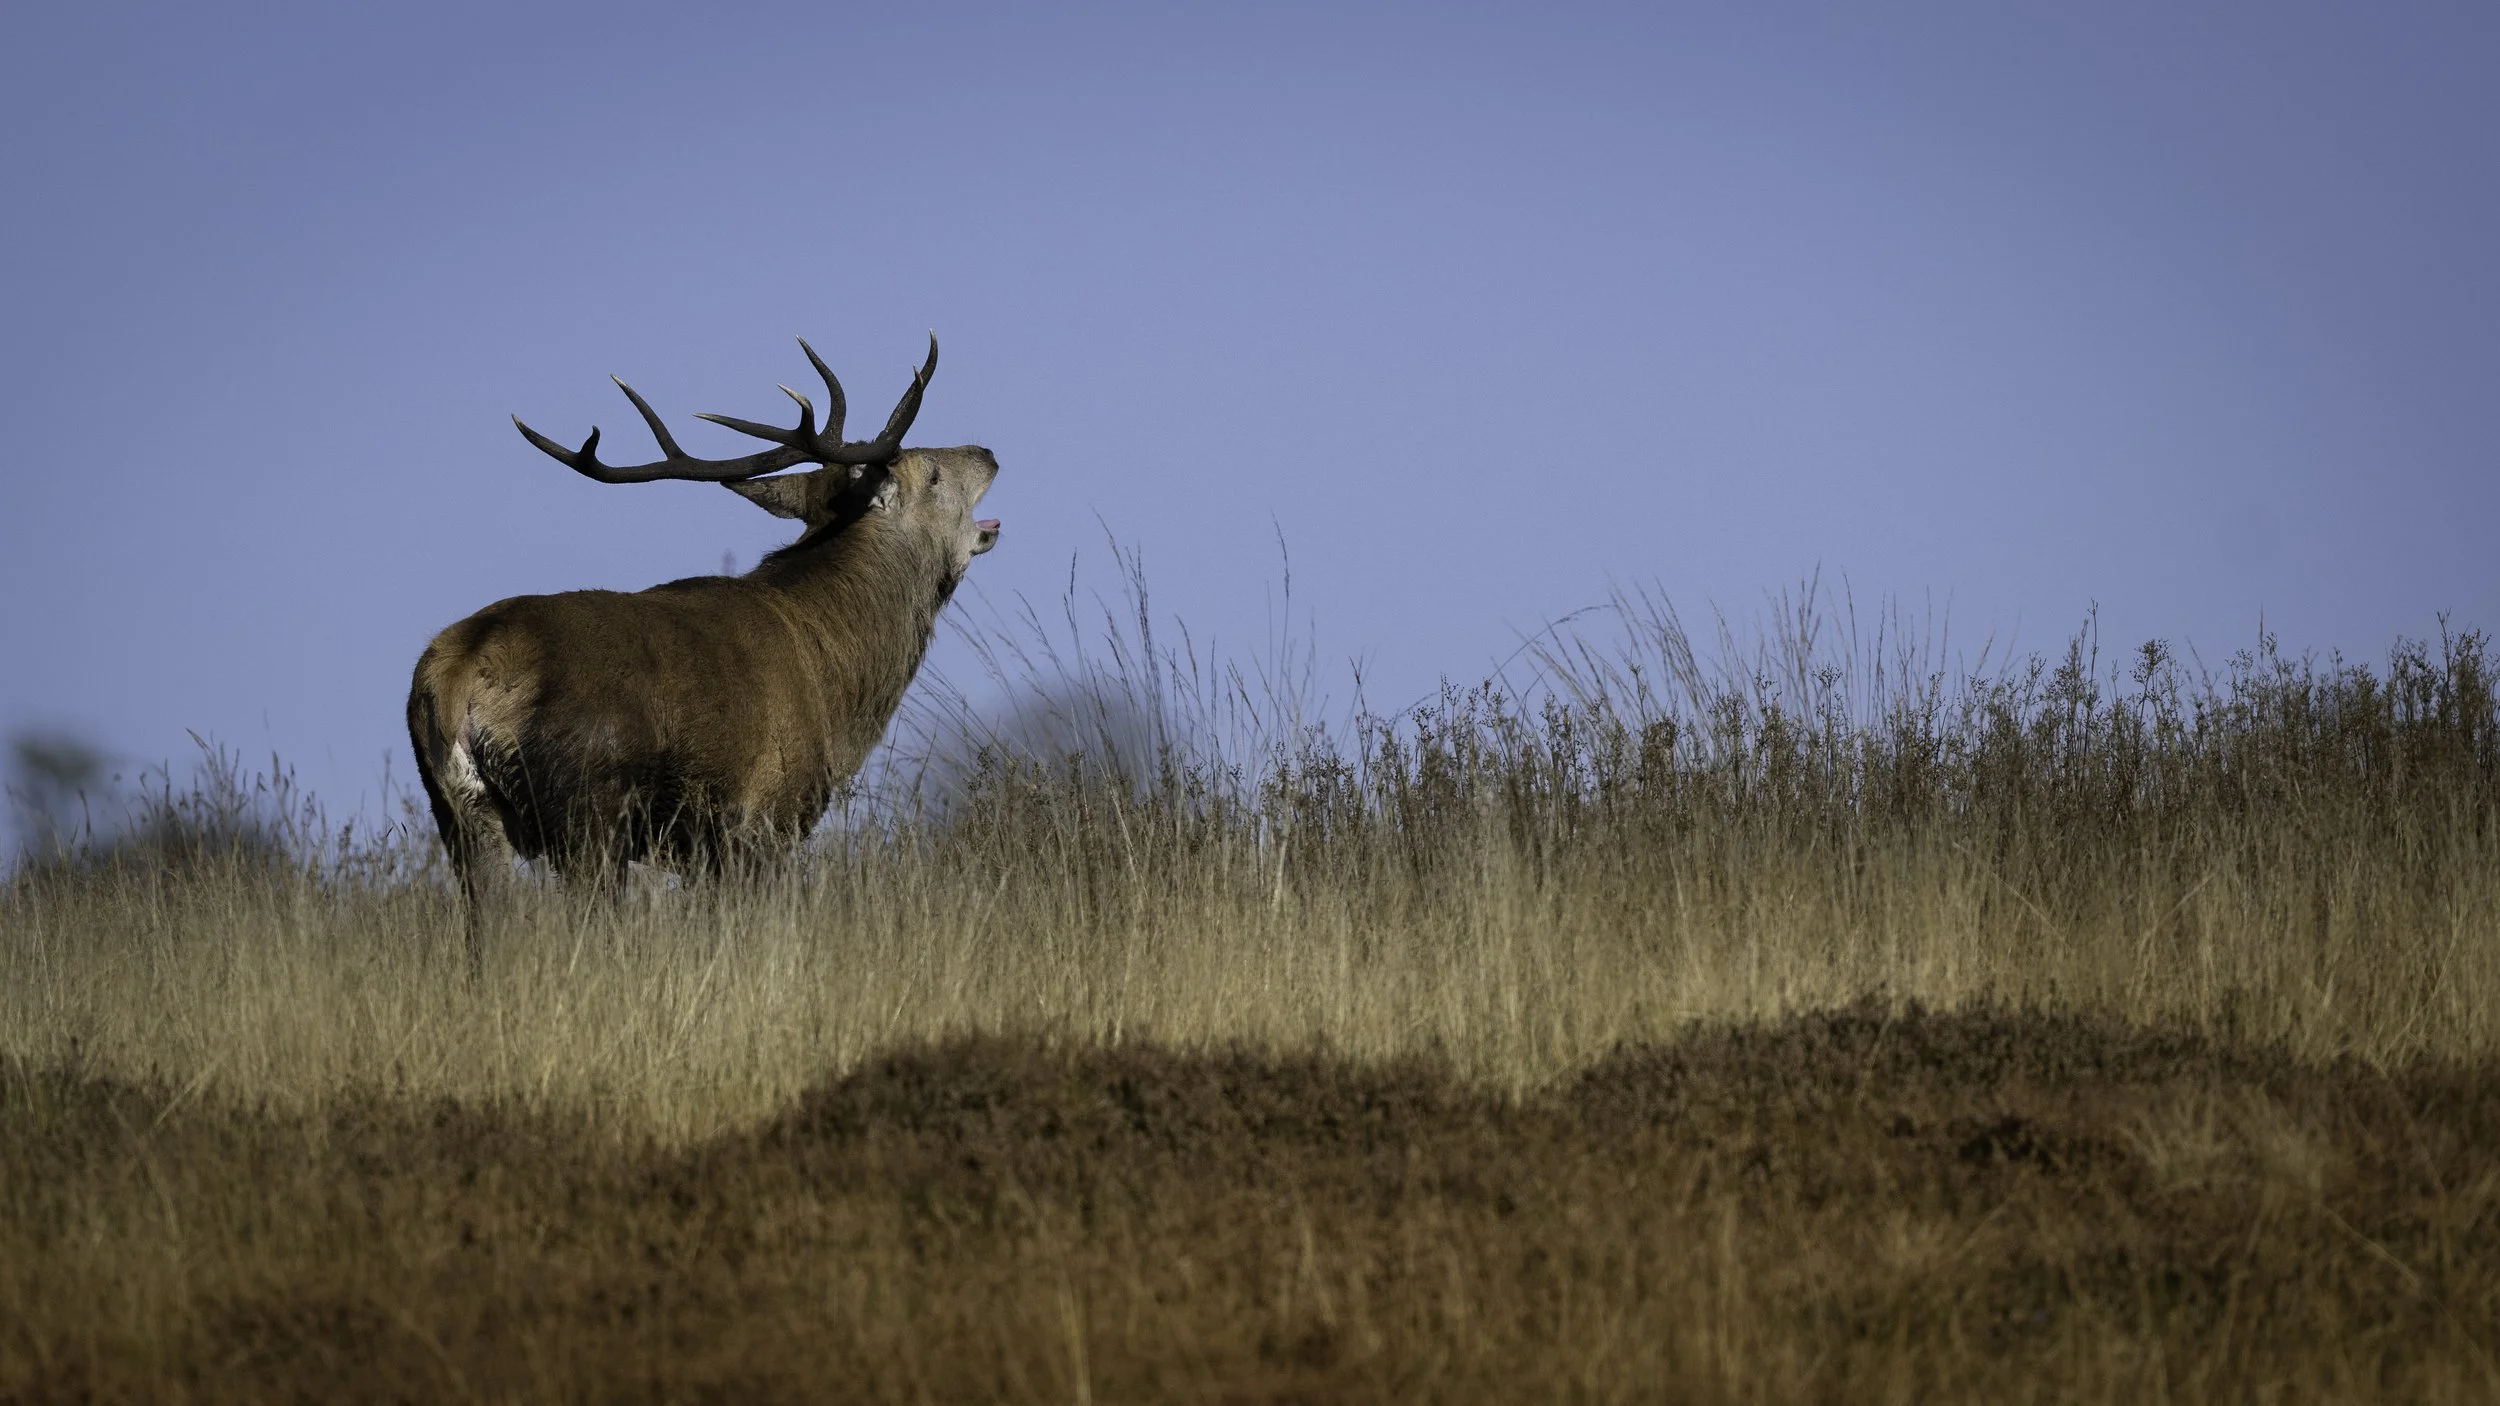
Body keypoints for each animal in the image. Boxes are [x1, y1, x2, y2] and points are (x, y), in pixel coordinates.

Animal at [406, 335, 999, 956]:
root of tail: (457, 674)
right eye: (932, 473)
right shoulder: (759, 817)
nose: (987, 452)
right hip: (590, 810)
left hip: (459, 813)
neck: (835, 674)